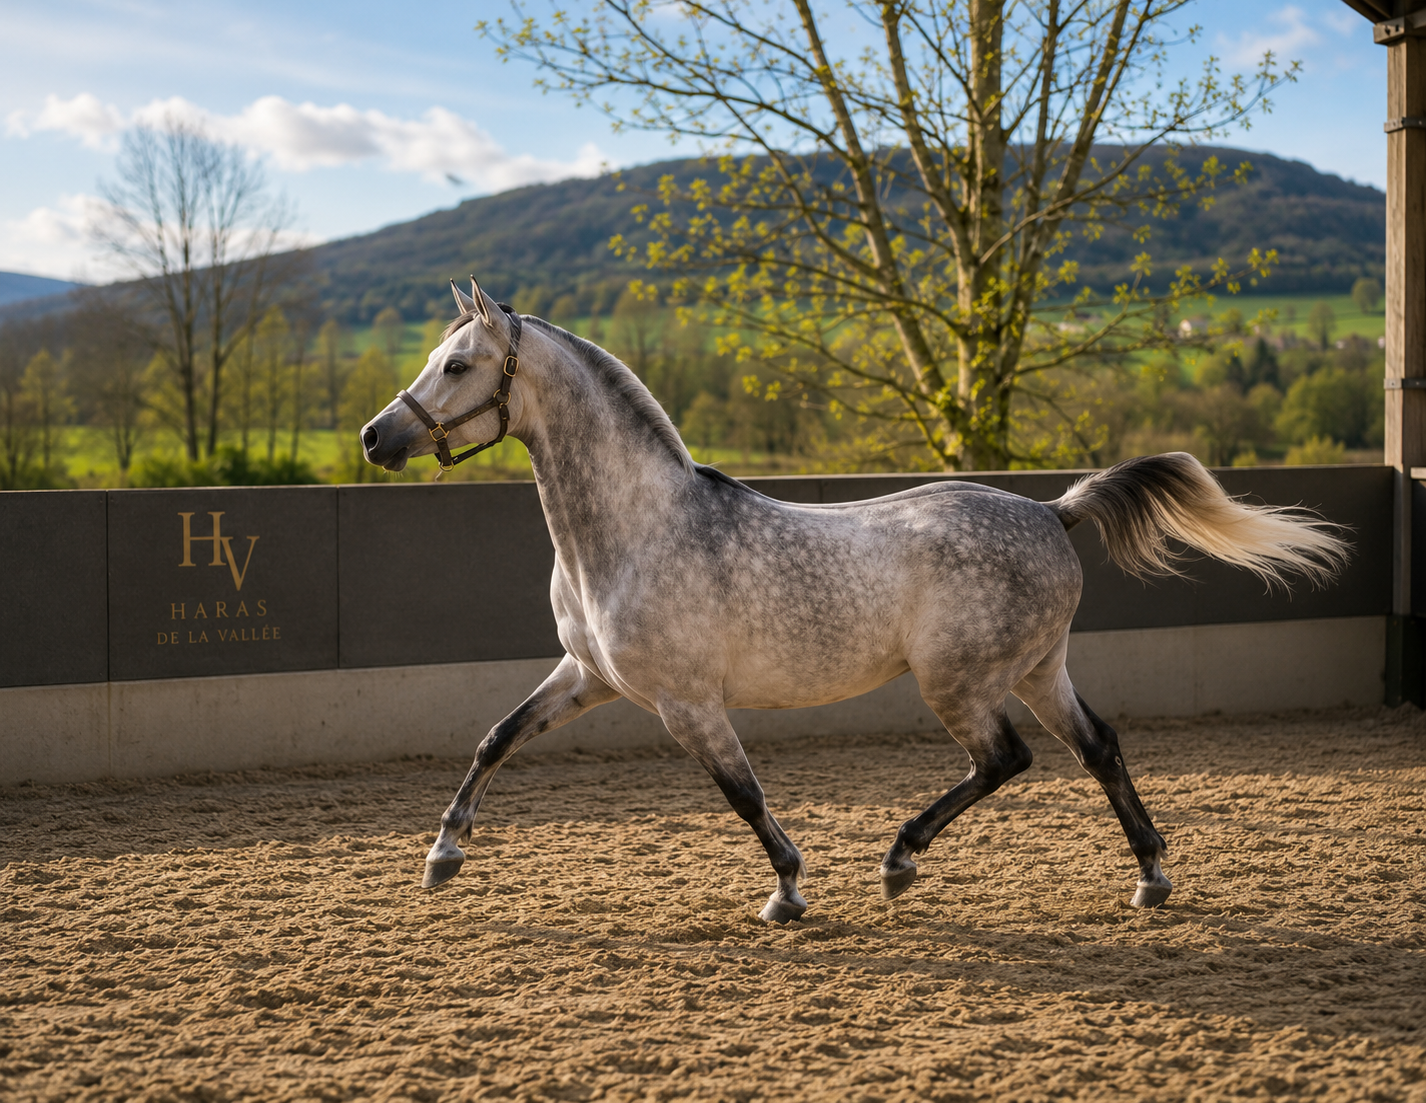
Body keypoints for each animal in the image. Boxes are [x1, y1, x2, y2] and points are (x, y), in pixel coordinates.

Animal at [360, 278, 1349, 923]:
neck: (637, 530)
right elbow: (495, 738)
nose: (375, 437)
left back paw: (900, 859)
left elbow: (743, 794)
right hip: (1039, 669)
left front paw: (789, 891)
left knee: (1006, 759)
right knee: (1097, 745)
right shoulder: (587, 675)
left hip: (960, 682)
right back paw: (1148, 876)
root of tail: (1049, 509)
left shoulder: (686, 702)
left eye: (459, 364)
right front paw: (442, 856)